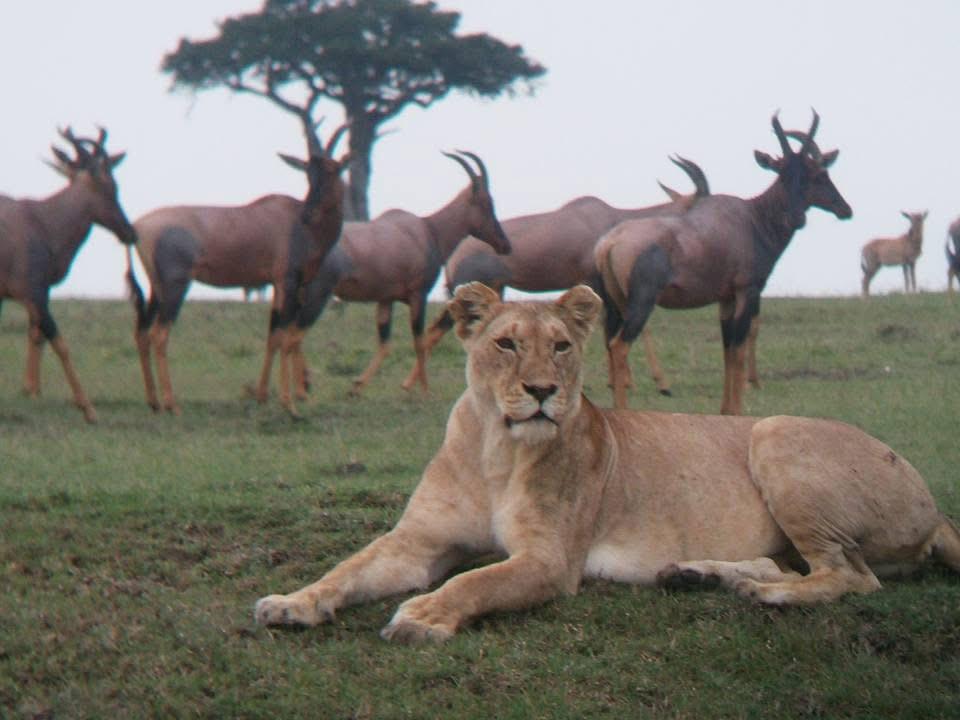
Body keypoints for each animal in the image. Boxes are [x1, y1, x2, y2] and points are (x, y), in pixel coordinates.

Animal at [255, 282, 960, 642]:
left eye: (562, 347)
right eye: (506, 344)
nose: (542, 391)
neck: (495, 449)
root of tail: (935, 506)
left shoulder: (549, 560)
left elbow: (472, 581)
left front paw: (425, 615)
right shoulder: (415, 542)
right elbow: (347, 569)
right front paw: (291, 602)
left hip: (776, 431)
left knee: (850, 576)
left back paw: (767, 595)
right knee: (794, 563)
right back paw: (701, 576)